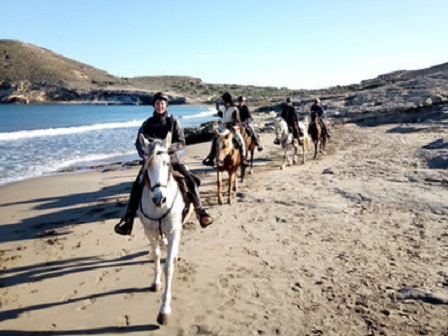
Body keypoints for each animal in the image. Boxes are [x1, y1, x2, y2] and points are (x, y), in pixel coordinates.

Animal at [137, 132, 192, 326]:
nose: (159, 199)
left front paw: (164, 310)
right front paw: (156, 283)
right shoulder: (149, 232)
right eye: (147, 165)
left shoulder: (174, 230)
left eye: (167, 163)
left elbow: (168, 266)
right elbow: (156, 255)